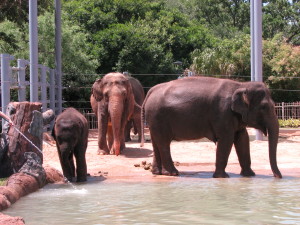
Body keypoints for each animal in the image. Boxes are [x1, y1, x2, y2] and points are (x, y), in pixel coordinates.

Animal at [141, 76, 282, 178]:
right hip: (158, 117)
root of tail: (150, 92)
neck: (241, 85)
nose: (278, 177)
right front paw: (222, 177)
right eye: (264, 107)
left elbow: (242, 139)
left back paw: (157, 173)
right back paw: (173, 173)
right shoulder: (223, 113)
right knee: (164, 143)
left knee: (156, 142)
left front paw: (250, 175)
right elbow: (226, 140)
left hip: (154, 119)